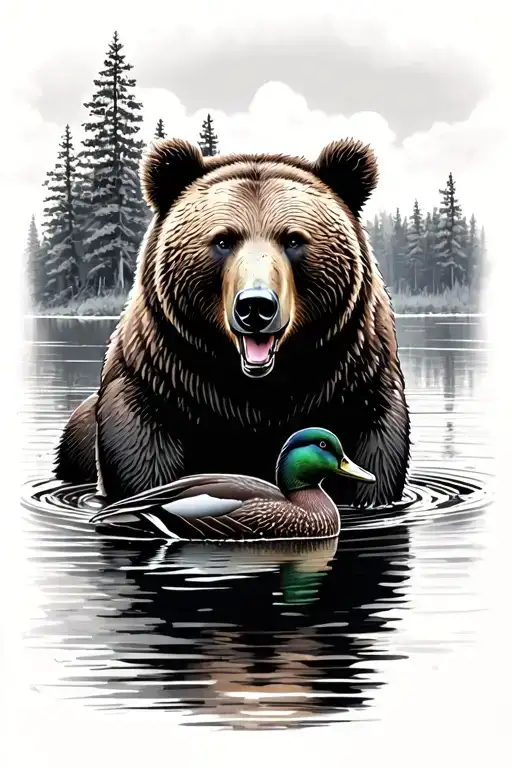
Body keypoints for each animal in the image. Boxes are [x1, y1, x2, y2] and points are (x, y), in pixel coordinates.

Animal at [54, 137, 410, 508]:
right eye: (223, 240)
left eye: (293, 239)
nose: (256, 306)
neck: (251, 395)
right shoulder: (159, 384)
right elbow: (141, 460)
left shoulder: (356, 384)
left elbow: (373, 462)